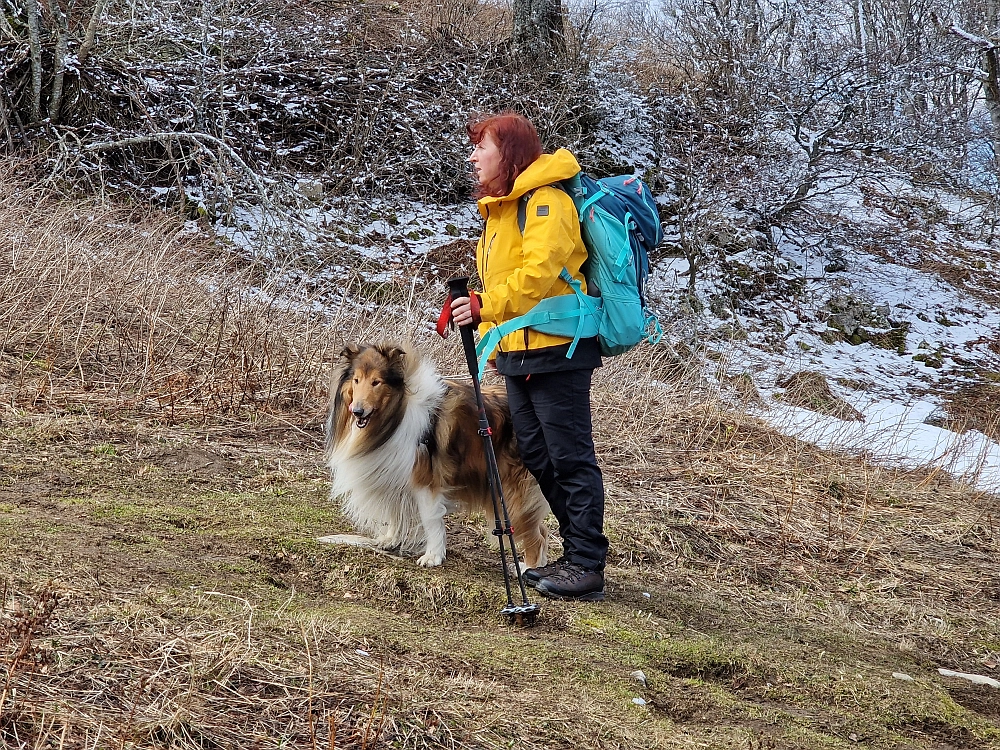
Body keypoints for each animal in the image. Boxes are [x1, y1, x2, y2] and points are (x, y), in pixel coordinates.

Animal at [324, 346, 548, 568]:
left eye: (376, 382)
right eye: (356, 380)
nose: (357, 411)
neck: (399, 411)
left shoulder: (426, 482)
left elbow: (431, 521)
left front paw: (433, 556)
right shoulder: (395, 474)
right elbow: (395, 512)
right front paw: (391, 539)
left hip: (511, 494)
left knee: (537, 537)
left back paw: (528, 568)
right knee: (542, 530)